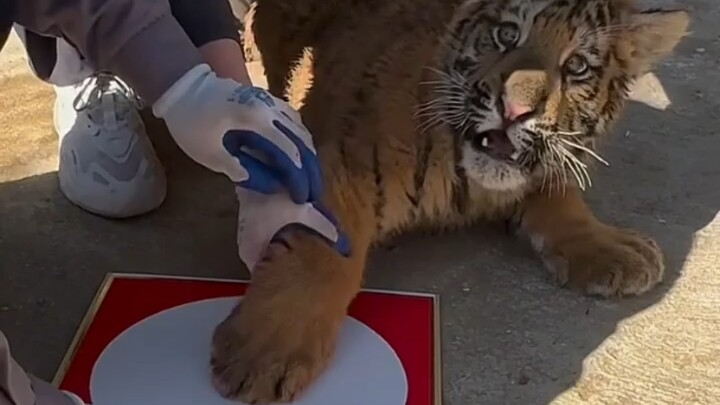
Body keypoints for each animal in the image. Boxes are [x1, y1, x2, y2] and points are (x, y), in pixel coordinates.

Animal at [210, 0, 690, 402]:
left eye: (576, 66)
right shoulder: (341, 164)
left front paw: (615, 250)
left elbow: (559, 195)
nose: (515, 111)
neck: (467, 176)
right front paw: (264, 354)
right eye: (506, 35)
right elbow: (318, 258)